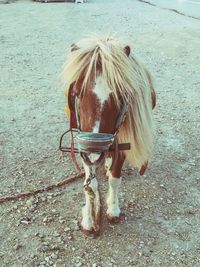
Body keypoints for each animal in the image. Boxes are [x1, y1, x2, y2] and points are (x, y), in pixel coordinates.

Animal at [63, 34, 156, 238]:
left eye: (120, 95)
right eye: (77, 92)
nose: (95, 147)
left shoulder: (121, 142)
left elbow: (115, 178)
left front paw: (113, 209)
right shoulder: (84, 149)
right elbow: (91, 184)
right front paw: (89, 219)